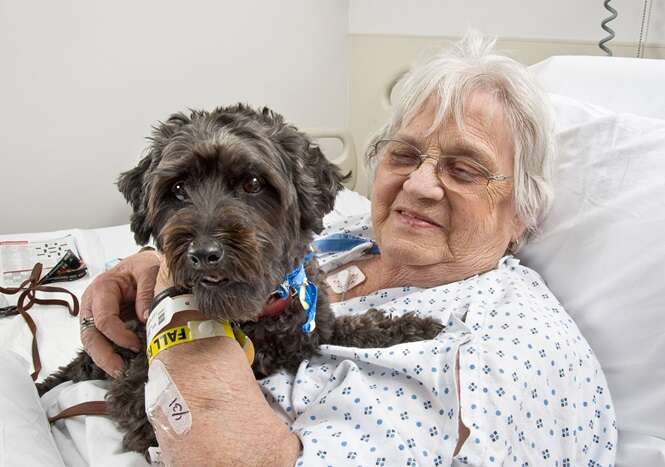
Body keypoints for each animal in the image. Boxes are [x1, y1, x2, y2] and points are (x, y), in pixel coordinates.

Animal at [35, 103, 440, 458]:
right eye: (177, 189)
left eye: (253, 183)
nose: (204, 252)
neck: (260, 315)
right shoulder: (134, 390)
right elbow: (150, 433)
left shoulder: (316, 329)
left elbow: (363, 324)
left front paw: (416, 325)